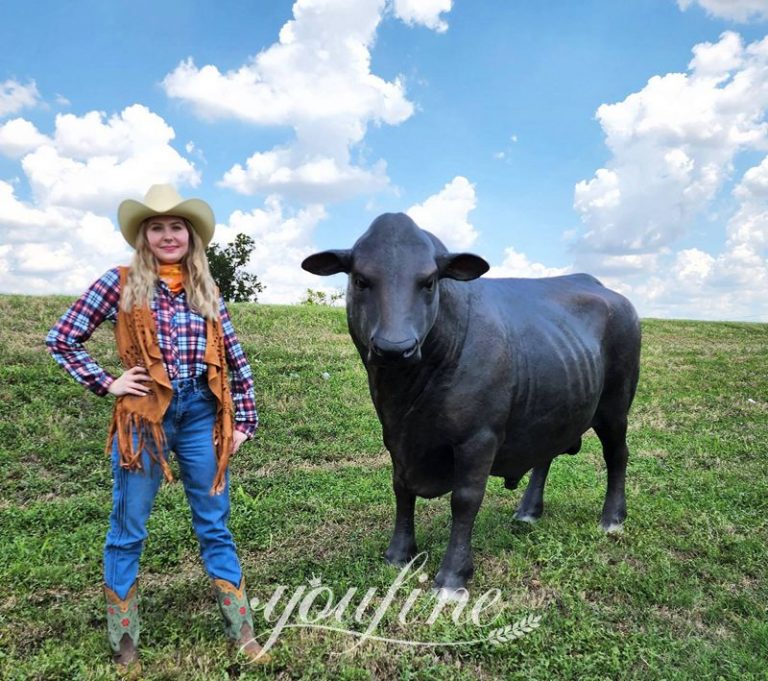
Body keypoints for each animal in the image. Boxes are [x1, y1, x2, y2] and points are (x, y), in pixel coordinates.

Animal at [301, 213, 641, 598]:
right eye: (361, 280)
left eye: (429, 282)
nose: (394, 348)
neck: (406, 397)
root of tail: (604, 288)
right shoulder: (395, 435)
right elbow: (401, 488)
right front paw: (398, 554)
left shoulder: (478, 437)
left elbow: (465, 500)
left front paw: (452, 576)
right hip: (556, 402)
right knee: (545, 454)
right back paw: (528, 511)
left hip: (616, 405)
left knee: (617, 455)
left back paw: (612, 519)